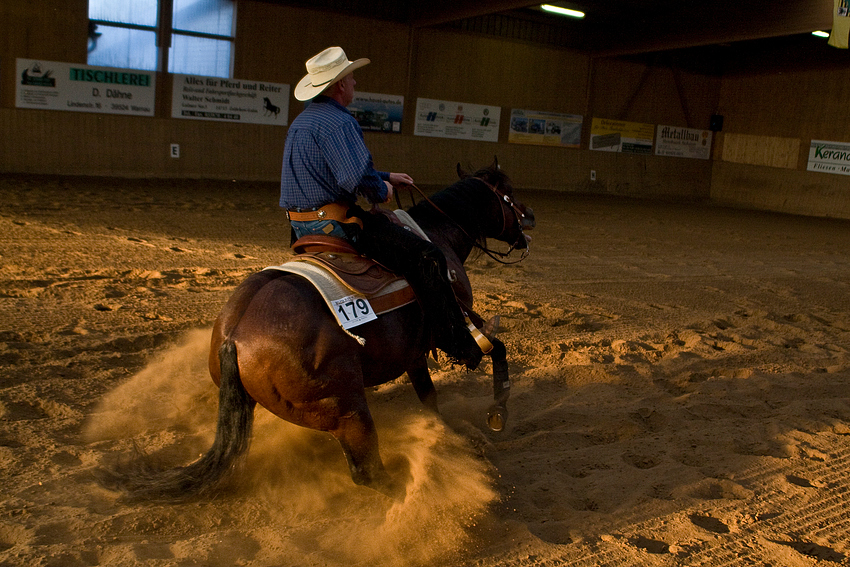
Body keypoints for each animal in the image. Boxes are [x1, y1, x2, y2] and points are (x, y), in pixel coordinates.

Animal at [104, 158, 528, 500]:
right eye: (509, 195)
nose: (531, 221)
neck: (437, 234)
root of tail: (234, 339)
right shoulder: (456, 321)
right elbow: (496, 348)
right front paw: (498, 411)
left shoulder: (412, 352)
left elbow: (429, 397)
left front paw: (445, 427)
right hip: (347, 410)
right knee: (367, 471)